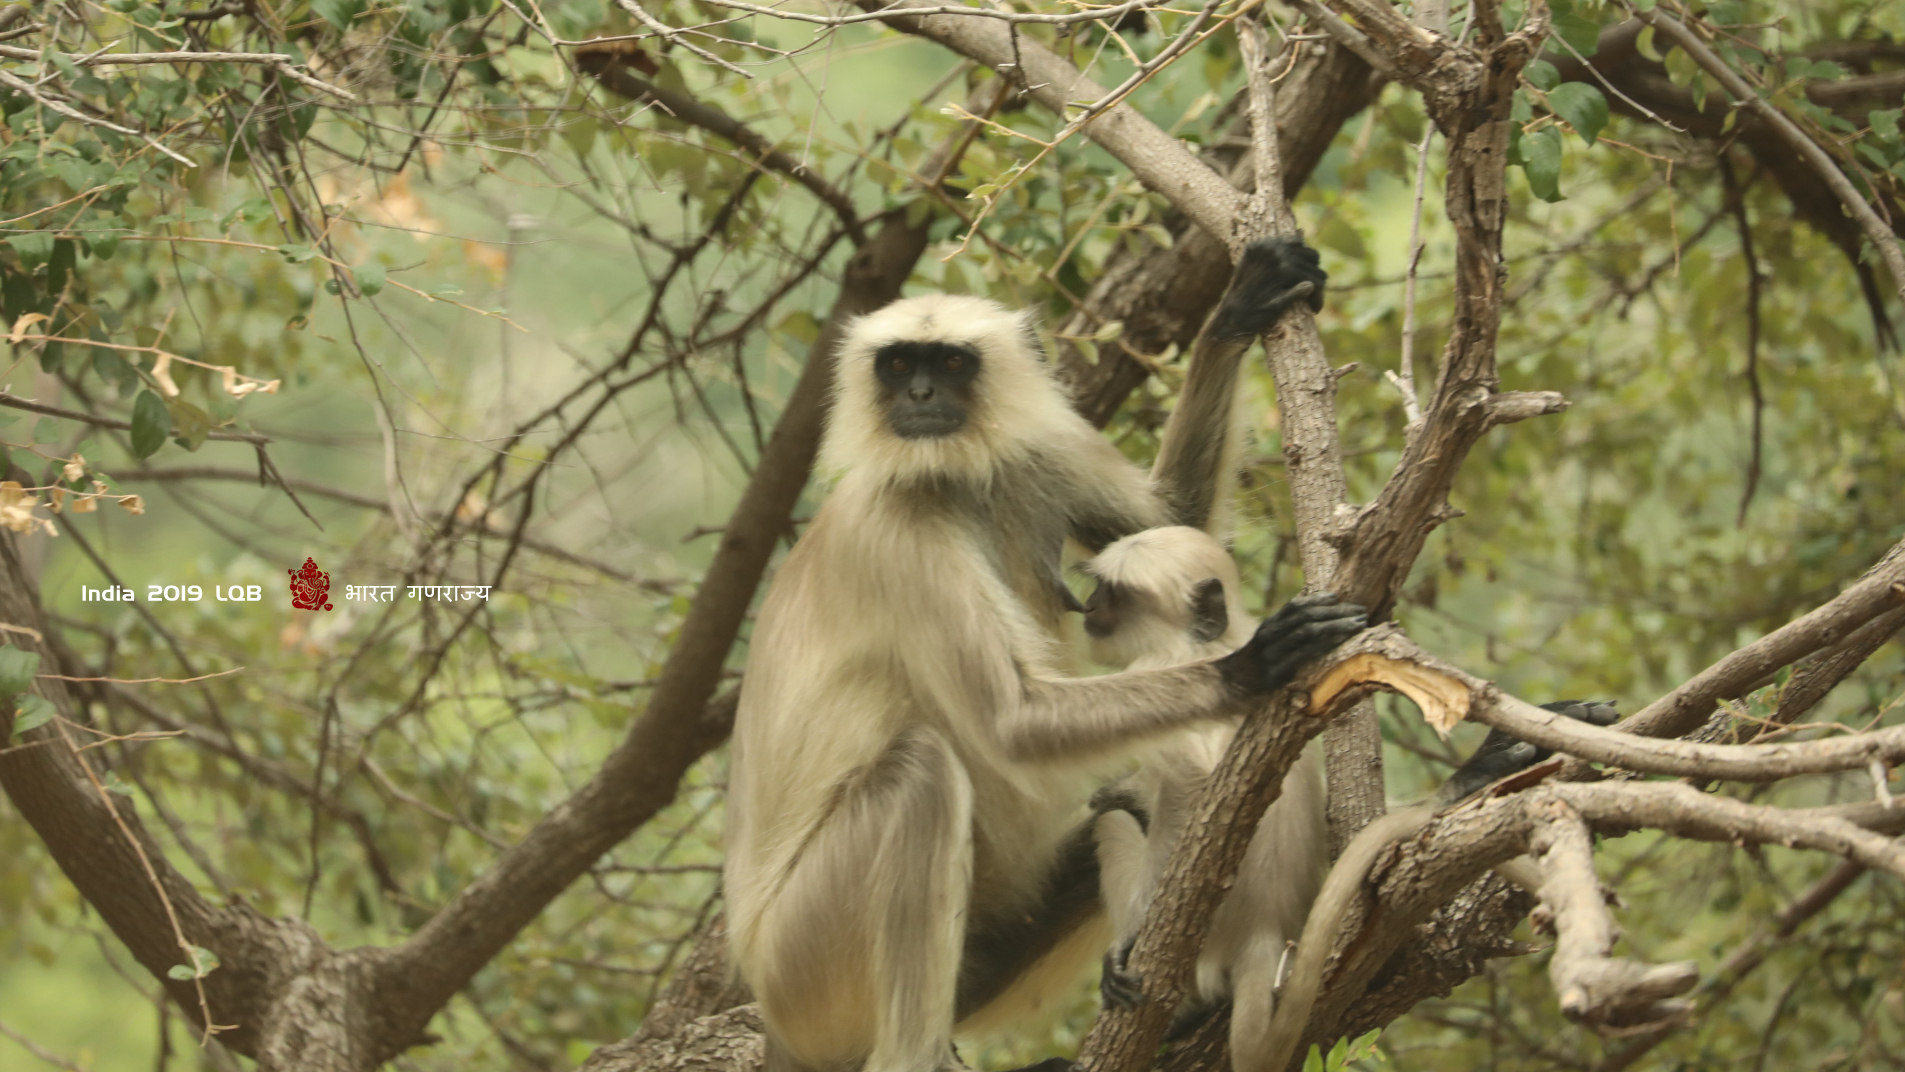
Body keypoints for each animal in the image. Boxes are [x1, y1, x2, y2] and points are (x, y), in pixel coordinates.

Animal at [720, 237, 1363, 1072]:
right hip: (801, 965)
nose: (919, 393)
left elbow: (1173, 518)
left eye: (949, 363)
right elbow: (1012, 723)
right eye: (896, 365)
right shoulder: (895, 527)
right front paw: (1249, 664)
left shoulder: (1033, 453)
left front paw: (1239, 307)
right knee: (921, 773)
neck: (950, 479)